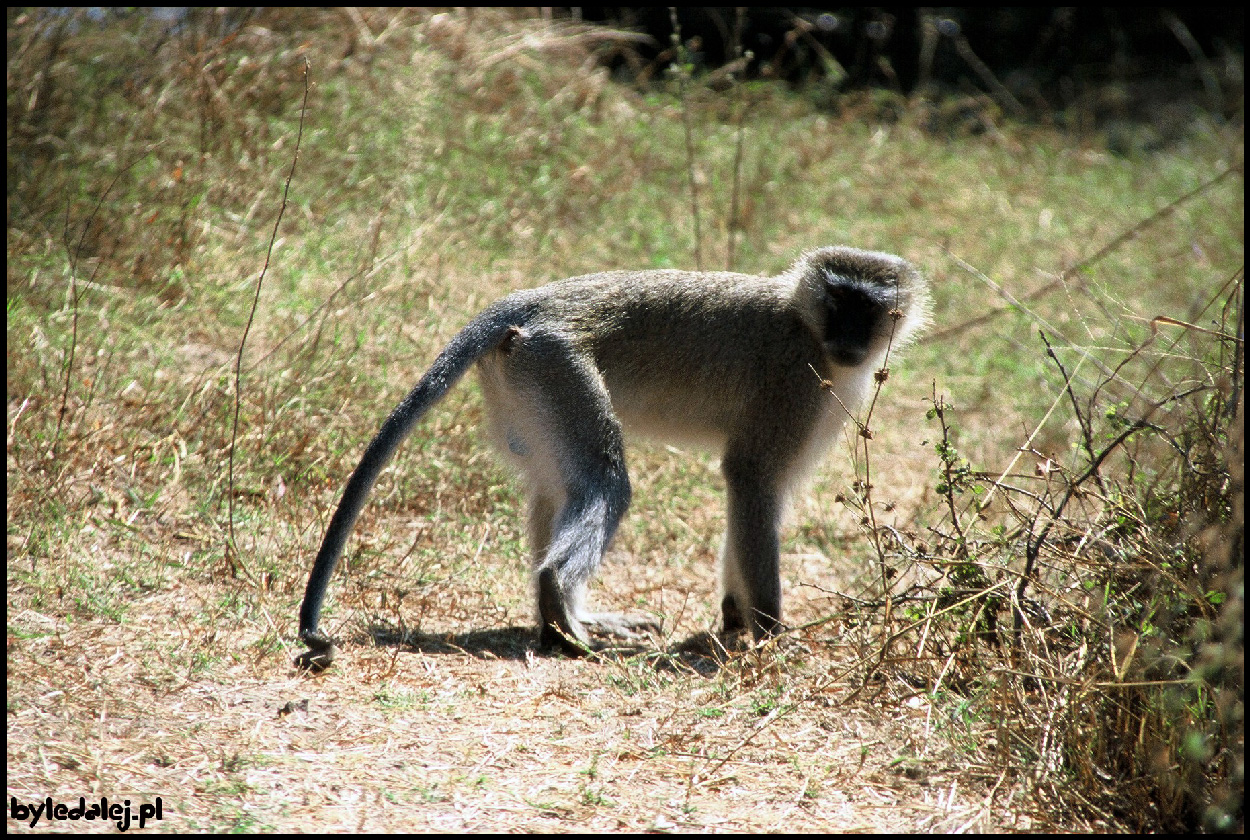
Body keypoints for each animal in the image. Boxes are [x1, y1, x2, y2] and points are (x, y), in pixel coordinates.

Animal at [297, 245, 930, 670]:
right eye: (839, 301)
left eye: (866, 308)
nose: (849, 337)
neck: (807, 324)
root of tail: (531, 300)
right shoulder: (796, 384)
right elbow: (751, 479)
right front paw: (772, 635)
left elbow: (756, 498)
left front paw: (733, 617)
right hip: (556, 361)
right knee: (606, 484)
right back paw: (561, 608)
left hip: (523, 384)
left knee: (554, 489)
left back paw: (562, 620)